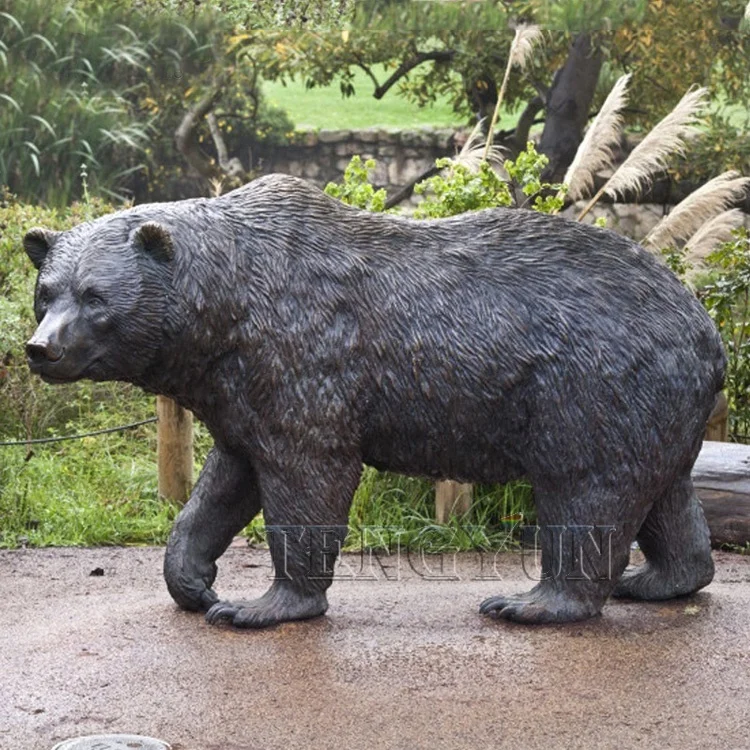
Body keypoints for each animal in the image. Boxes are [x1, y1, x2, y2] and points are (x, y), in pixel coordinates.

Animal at [23, 173, 725, 628]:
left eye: (95, 297)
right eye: (46, 291)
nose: (41, 349)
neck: (226, 313)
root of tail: (707, 329)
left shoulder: (304, 357)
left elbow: (309, 474)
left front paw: (261, 604)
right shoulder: (238, 388)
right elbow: (227, 479)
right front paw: (193, 581)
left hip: (591, 386)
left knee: (586, 487)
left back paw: (531, 602)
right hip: (650, 404)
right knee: (663, 490)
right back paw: (658, 579)